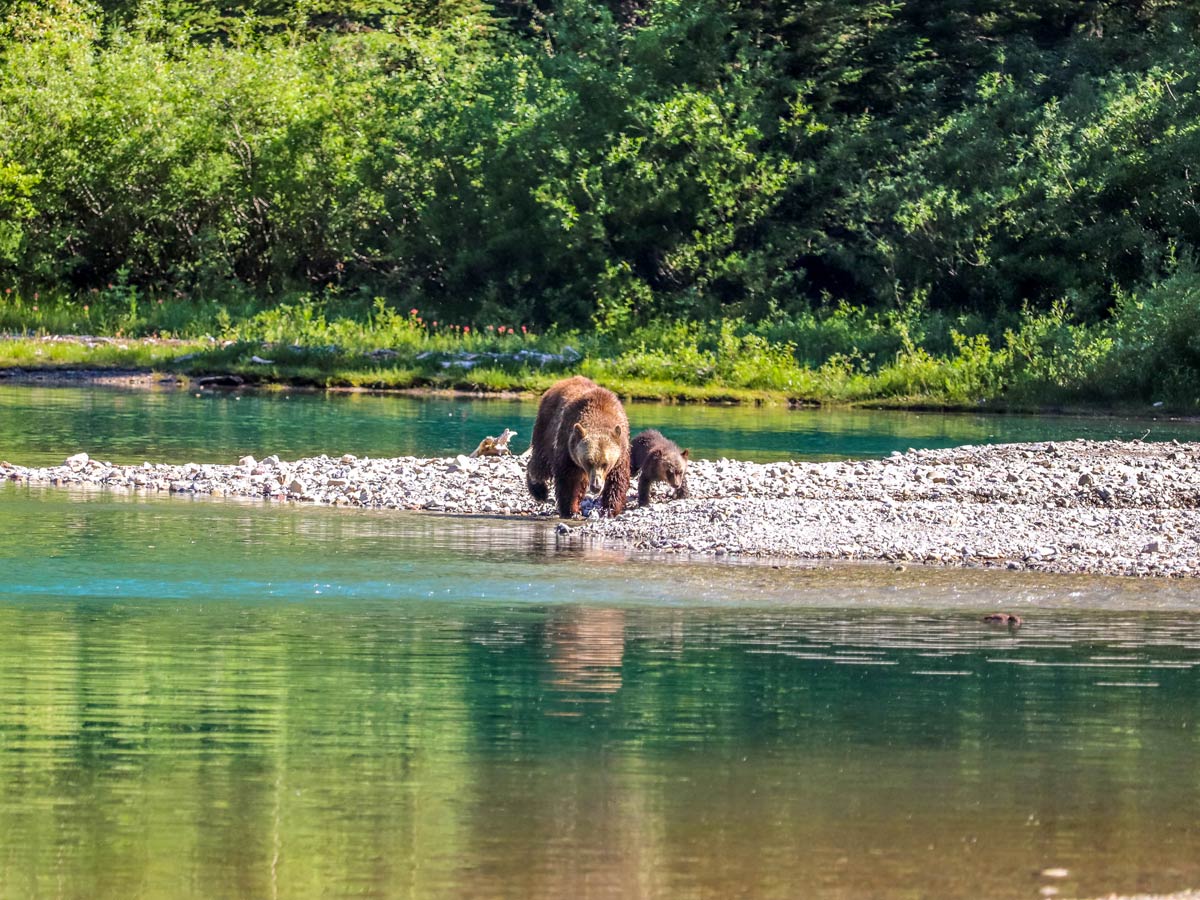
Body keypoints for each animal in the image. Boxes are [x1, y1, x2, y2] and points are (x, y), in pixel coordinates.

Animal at [528, 374, 633, 518]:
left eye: (605, 463)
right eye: (589, 461)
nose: (596, 486)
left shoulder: (621, 452)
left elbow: (617, 480)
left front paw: (609, 510)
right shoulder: (568, 445)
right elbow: (569, 479)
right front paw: (570, 510)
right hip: (545, 427)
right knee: (541, 464)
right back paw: (539, 490)